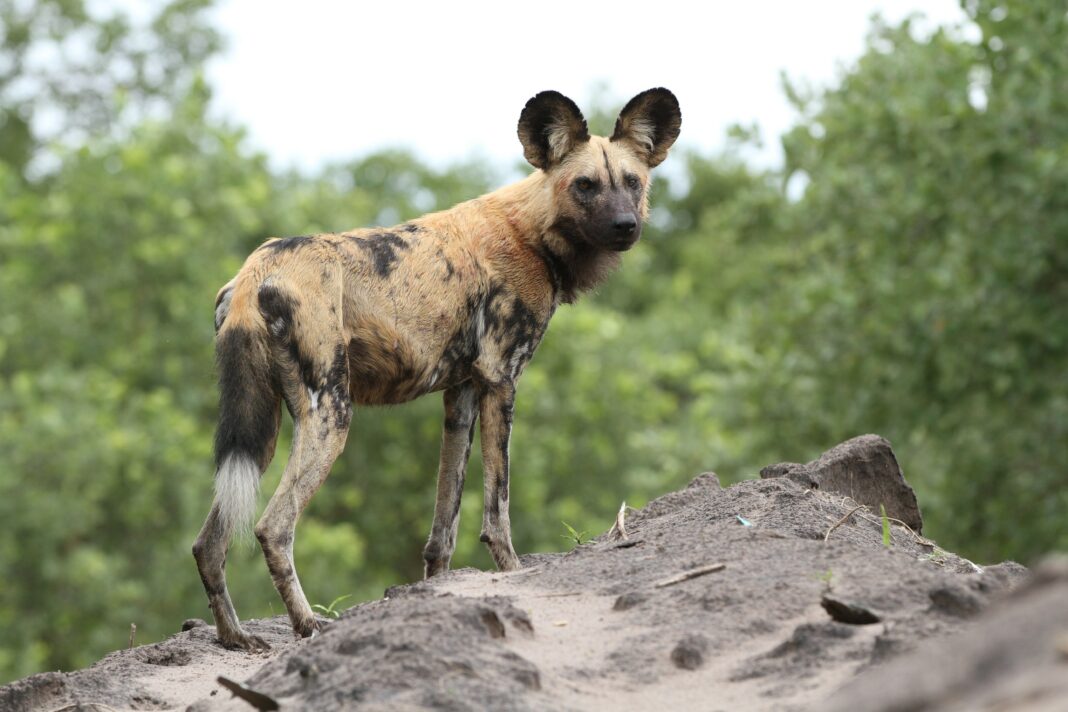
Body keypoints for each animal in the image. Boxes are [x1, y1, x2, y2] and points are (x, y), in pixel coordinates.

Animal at [194, 86, 683, 649]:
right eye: (585, 186)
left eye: (632, 182)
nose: (626, 226)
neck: (533, 231)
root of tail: (257, 269)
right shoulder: (500, 381)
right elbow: (498, 510)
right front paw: (513, 573)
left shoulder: (462, 395)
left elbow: (442, 528)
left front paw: (436, 596)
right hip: (330, 416)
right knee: (273, 527)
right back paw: (308, 625)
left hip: (263, 430)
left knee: (209, 541)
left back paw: (234, 636)